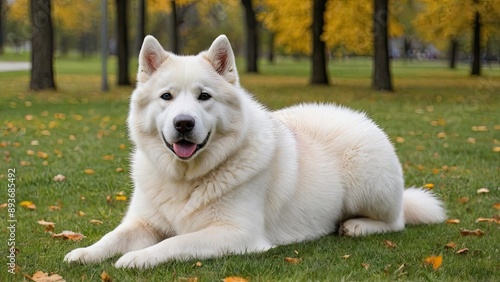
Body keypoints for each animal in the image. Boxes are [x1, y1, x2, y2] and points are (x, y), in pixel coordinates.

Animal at [63, 34, 446, 268]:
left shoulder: (235, 234)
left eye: (204, 96)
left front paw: (137, 258)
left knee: (395, 222)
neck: (187, 178)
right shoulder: (142, 222)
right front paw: (84, 252)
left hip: (367, 184)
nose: (184, 123)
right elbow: (112, 237)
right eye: (166, 97)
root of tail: (357, 117)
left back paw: (356, 226)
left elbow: (174, 244)